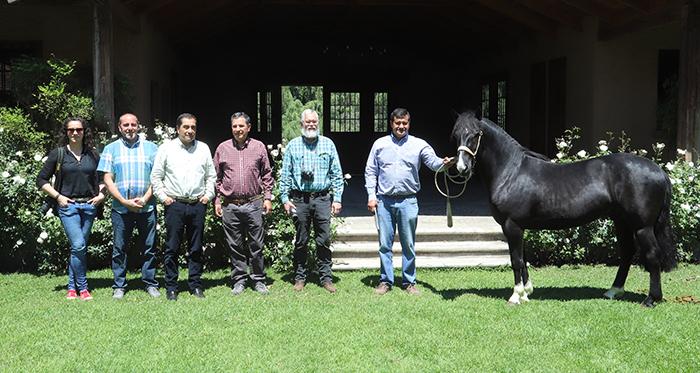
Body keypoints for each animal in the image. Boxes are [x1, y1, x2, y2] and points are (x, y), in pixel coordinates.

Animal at [452, 109, 676, 306]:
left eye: (475, 134)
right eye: (455, 135)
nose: (462, 168)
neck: (511, 172)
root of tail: (659, 171)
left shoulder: (511, 225)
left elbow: (516, 260)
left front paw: (516, 296)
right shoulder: (519, 227)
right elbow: (523, 259)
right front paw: (527, 292)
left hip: (642, 227)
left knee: (652, 255)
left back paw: (651, 299)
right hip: (621, 221)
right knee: (627, 252)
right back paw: (613, 291)